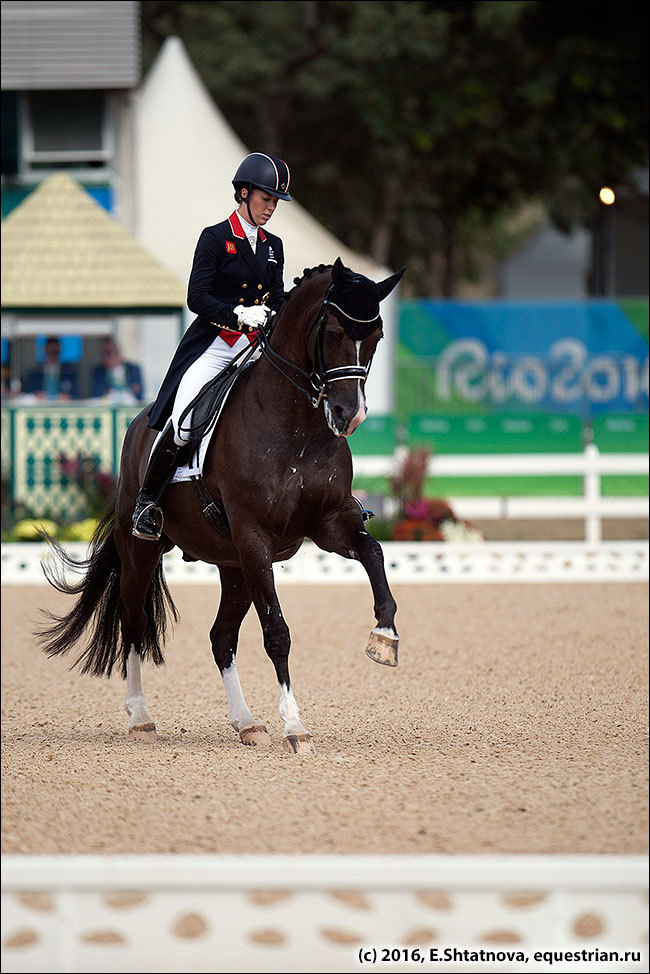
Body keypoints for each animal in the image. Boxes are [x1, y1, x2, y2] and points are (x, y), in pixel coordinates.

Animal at [38, 258, 402, 756]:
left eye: (378, 336)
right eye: (331, 332)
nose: (350, 415)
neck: (296, 425)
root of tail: (138, 423)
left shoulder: (330, 524)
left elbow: (373, 553)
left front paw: (384, 637)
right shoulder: (255, 537)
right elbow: (277, 633)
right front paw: (295, 726)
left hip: (235, 565)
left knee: (221, 637)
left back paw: (246, 722)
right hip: (147, 551)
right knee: (133, 622)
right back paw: (141, 718)